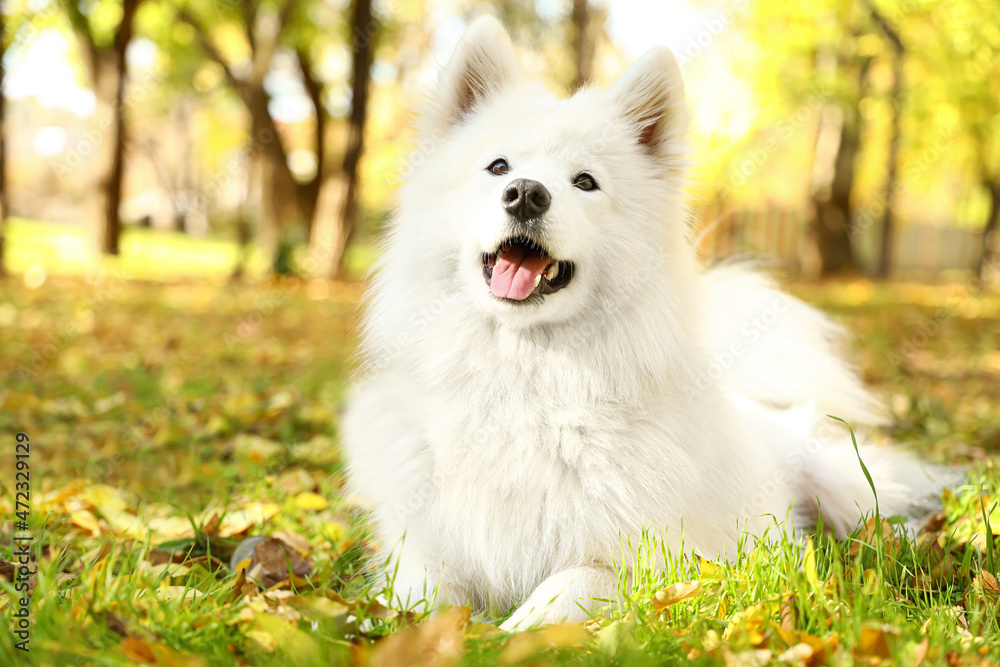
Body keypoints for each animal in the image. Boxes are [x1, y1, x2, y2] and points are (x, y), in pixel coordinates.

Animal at [344, 15, 944, 632]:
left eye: (585, 182)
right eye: (498, 168)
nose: (526, 194)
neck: (528, 379)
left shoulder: (654, 564)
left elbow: (565, 587)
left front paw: (505, 636)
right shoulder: (424, 554)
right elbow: (415, 600)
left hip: (839, 484)